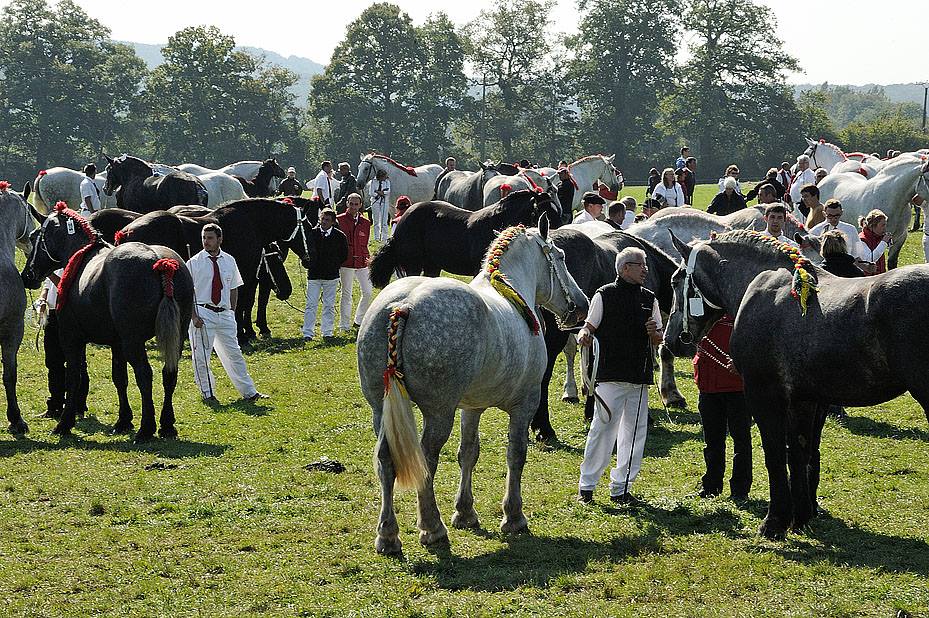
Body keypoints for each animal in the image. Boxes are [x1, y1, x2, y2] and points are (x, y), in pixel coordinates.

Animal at [20, 205, 192, 440]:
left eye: (33, 236)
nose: (27, 274)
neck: (81, 257)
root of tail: (161, 262)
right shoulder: (116, 343)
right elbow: (119, 377)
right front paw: (123, 420)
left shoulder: (71, 337)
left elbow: (73, 376)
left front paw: (65, 422)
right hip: (177, 335)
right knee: (169, 373)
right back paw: (166, 425)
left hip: (133, 341)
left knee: (144, 374)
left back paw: (146, 428)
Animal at [668, 229, 929, 536]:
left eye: (675, 281)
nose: (672, 340)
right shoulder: (805, 400)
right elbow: (800, 454)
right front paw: (801, 515)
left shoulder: (764, 397)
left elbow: (775, 455)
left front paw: (775, 521)